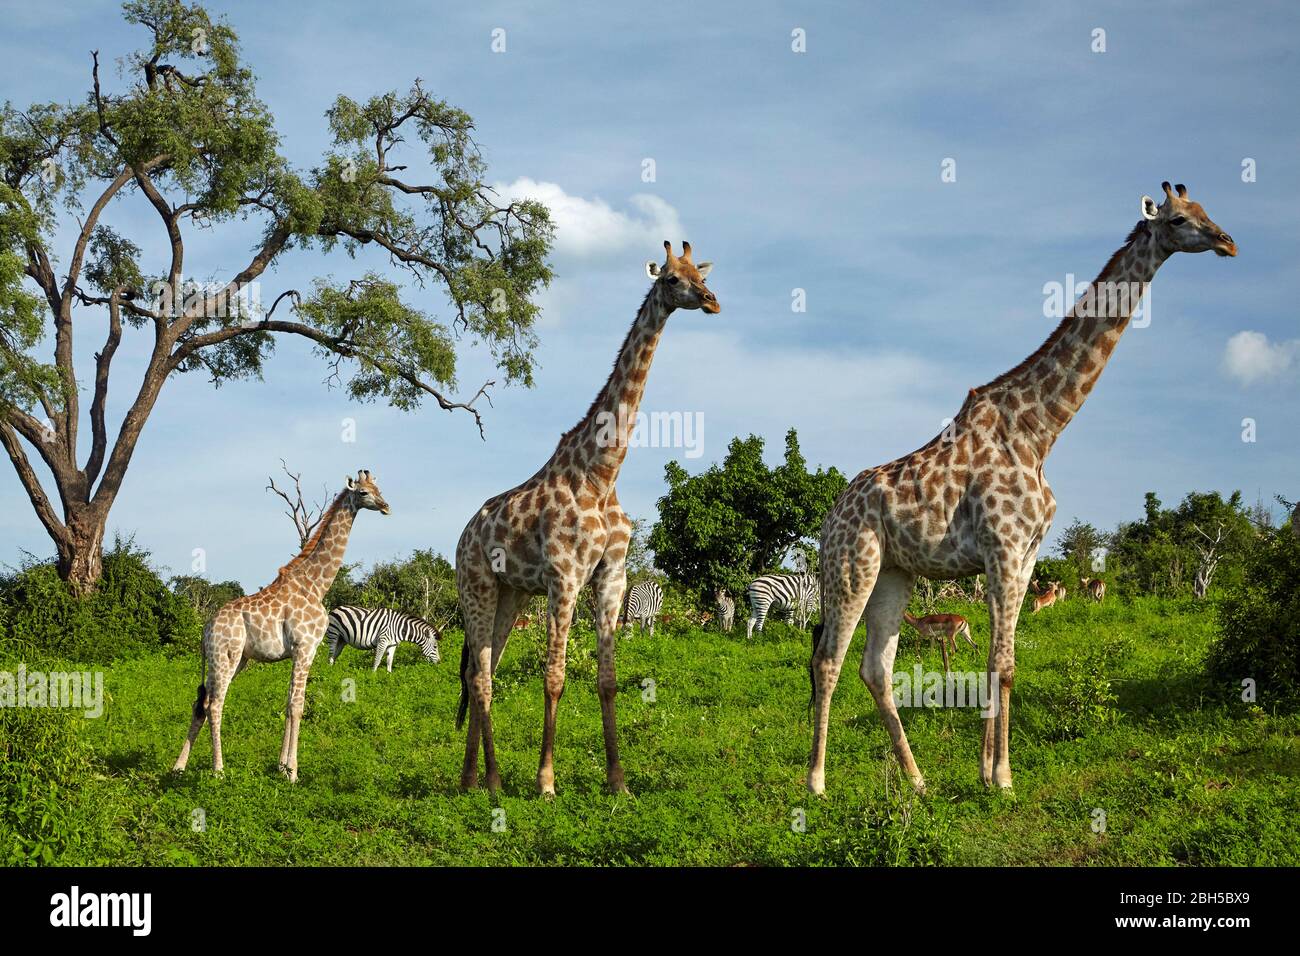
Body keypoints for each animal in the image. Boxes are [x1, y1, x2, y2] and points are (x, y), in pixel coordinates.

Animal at [171, 468, 390, 780]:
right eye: (363, 492)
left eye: (379, 488)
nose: (386, 506)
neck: (316, 585)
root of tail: (206, 628)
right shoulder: (305, 647)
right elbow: (298, 706)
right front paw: (294, 772)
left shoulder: (297, 652)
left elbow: (288, 704)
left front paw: (282, 767)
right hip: (226, 655)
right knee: (214, 705)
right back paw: (218, 770)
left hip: (231, 660)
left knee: (200, 703)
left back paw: (178, 767)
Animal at [454, 243, 722, 796]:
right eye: (670, 278)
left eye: (700, 272)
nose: (711, 300)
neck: (601, 473)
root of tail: (462, 537)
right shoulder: (565, 576)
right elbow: (554, 676)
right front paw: (546, 781)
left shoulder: (611, 575)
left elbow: (607, 679)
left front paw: (617, 779)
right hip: (476, 587)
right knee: (482, 677)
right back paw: (492, 779)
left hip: (510, 595)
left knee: (480, 670)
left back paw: (472, 779)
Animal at [811, 183, 1237, 796]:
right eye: (1180, 220)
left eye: (1206, 210)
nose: (1227, 242)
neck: (1041, 431)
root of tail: (829, 519)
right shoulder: (1005, 548)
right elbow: (1002, 663)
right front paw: (1003, 776)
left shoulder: (1027, 553)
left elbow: (1002, 664)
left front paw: (988, 773)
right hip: (851, 567)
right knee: (828, 661)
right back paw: (816, 783)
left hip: (894, 573)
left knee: (876, 668)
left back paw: (917, 780)